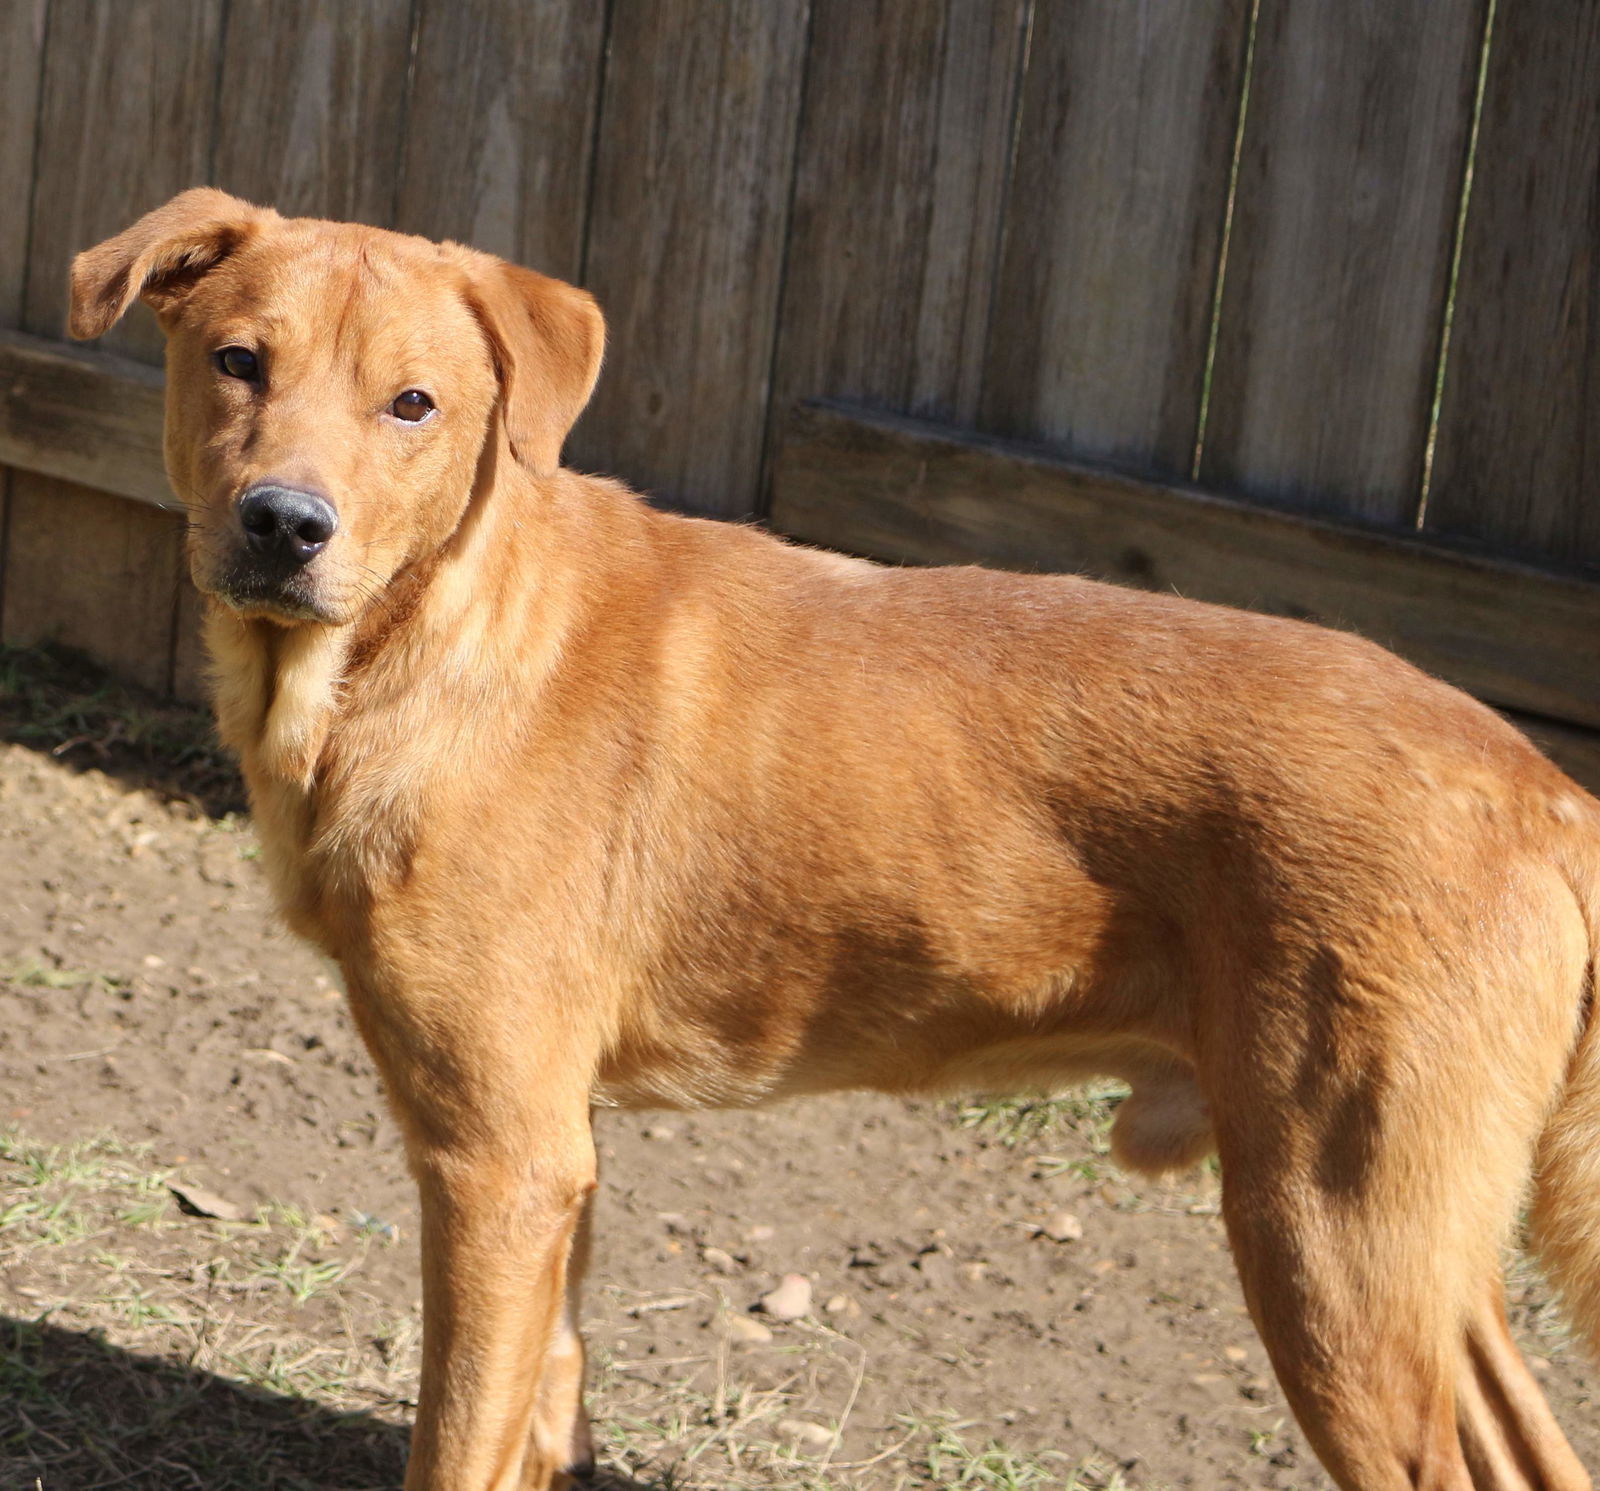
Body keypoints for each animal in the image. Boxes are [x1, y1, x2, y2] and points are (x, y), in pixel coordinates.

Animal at [75, 189, 1600, 1491]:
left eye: (413, 404)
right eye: (237, 362)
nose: (284, 524)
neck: (419, 649)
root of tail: (1546, 788)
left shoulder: (495, 1160)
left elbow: (456, 1439)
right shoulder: (554, 1155)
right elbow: (542, 1405)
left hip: (1333, 1240)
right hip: (1420, 1248)